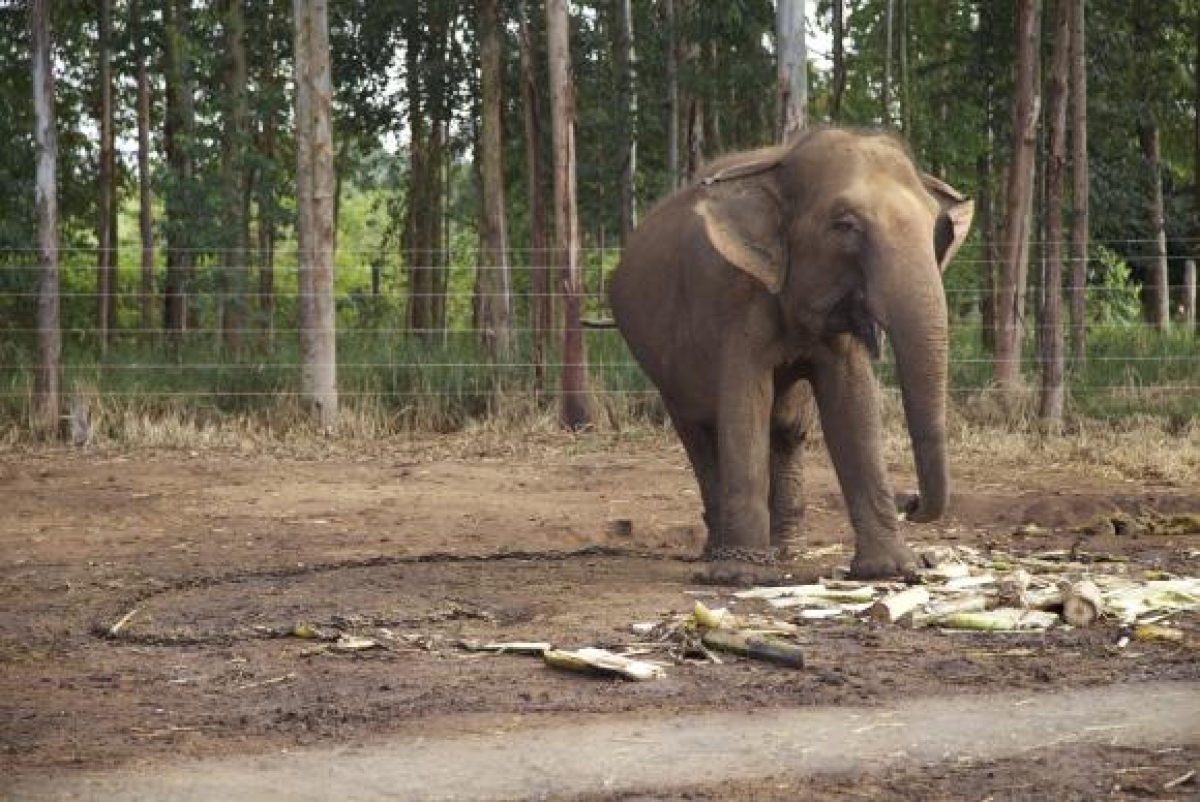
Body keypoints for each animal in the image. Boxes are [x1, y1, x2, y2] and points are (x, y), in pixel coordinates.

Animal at [608, 127, 974, 582]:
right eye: (845, 225)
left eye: (934, 226)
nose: (911, 501)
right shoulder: (735, 298)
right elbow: (745, 403)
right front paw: (741, 576)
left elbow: (852, 402)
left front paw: (890, 569)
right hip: (660, 359)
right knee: (700, 431)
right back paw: (720, 552)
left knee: (784, 426)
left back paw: (783, 550)